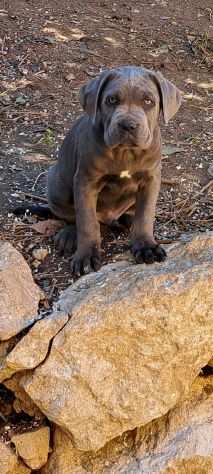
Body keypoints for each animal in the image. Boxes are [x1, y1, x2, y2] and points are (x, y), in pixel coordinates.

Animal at [47, 65, 181, 274]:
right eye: (111, 100)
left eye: (148, 101)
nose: (128, 125)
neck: (125, 152)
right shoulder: (86, 181)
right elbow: (86, 221)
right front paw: (86, 256)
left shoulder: (151, 179)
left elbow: (145, 214)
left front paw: (146, 246)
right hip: (56, 184)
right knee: (71, 216)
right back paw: (69, 235)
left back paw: (127, 220)